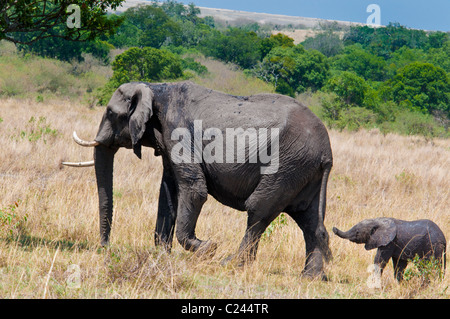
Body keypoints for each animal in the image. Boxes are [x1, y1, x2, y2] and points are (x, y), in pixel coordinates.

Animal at [61, 82, 332, 280]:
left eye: (110, 113)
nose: (105, 248)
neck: (155, 87)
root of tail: (326, 152)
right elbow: (168, 193)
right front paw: (160, 256)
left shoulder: (178, 131)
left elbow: (194, 190)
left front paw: (208, 248)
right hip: (303, 170)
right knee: (309, 221)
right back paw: (310, 278)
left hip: (287, 165)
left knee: (259, 210)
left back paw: (230, 263)